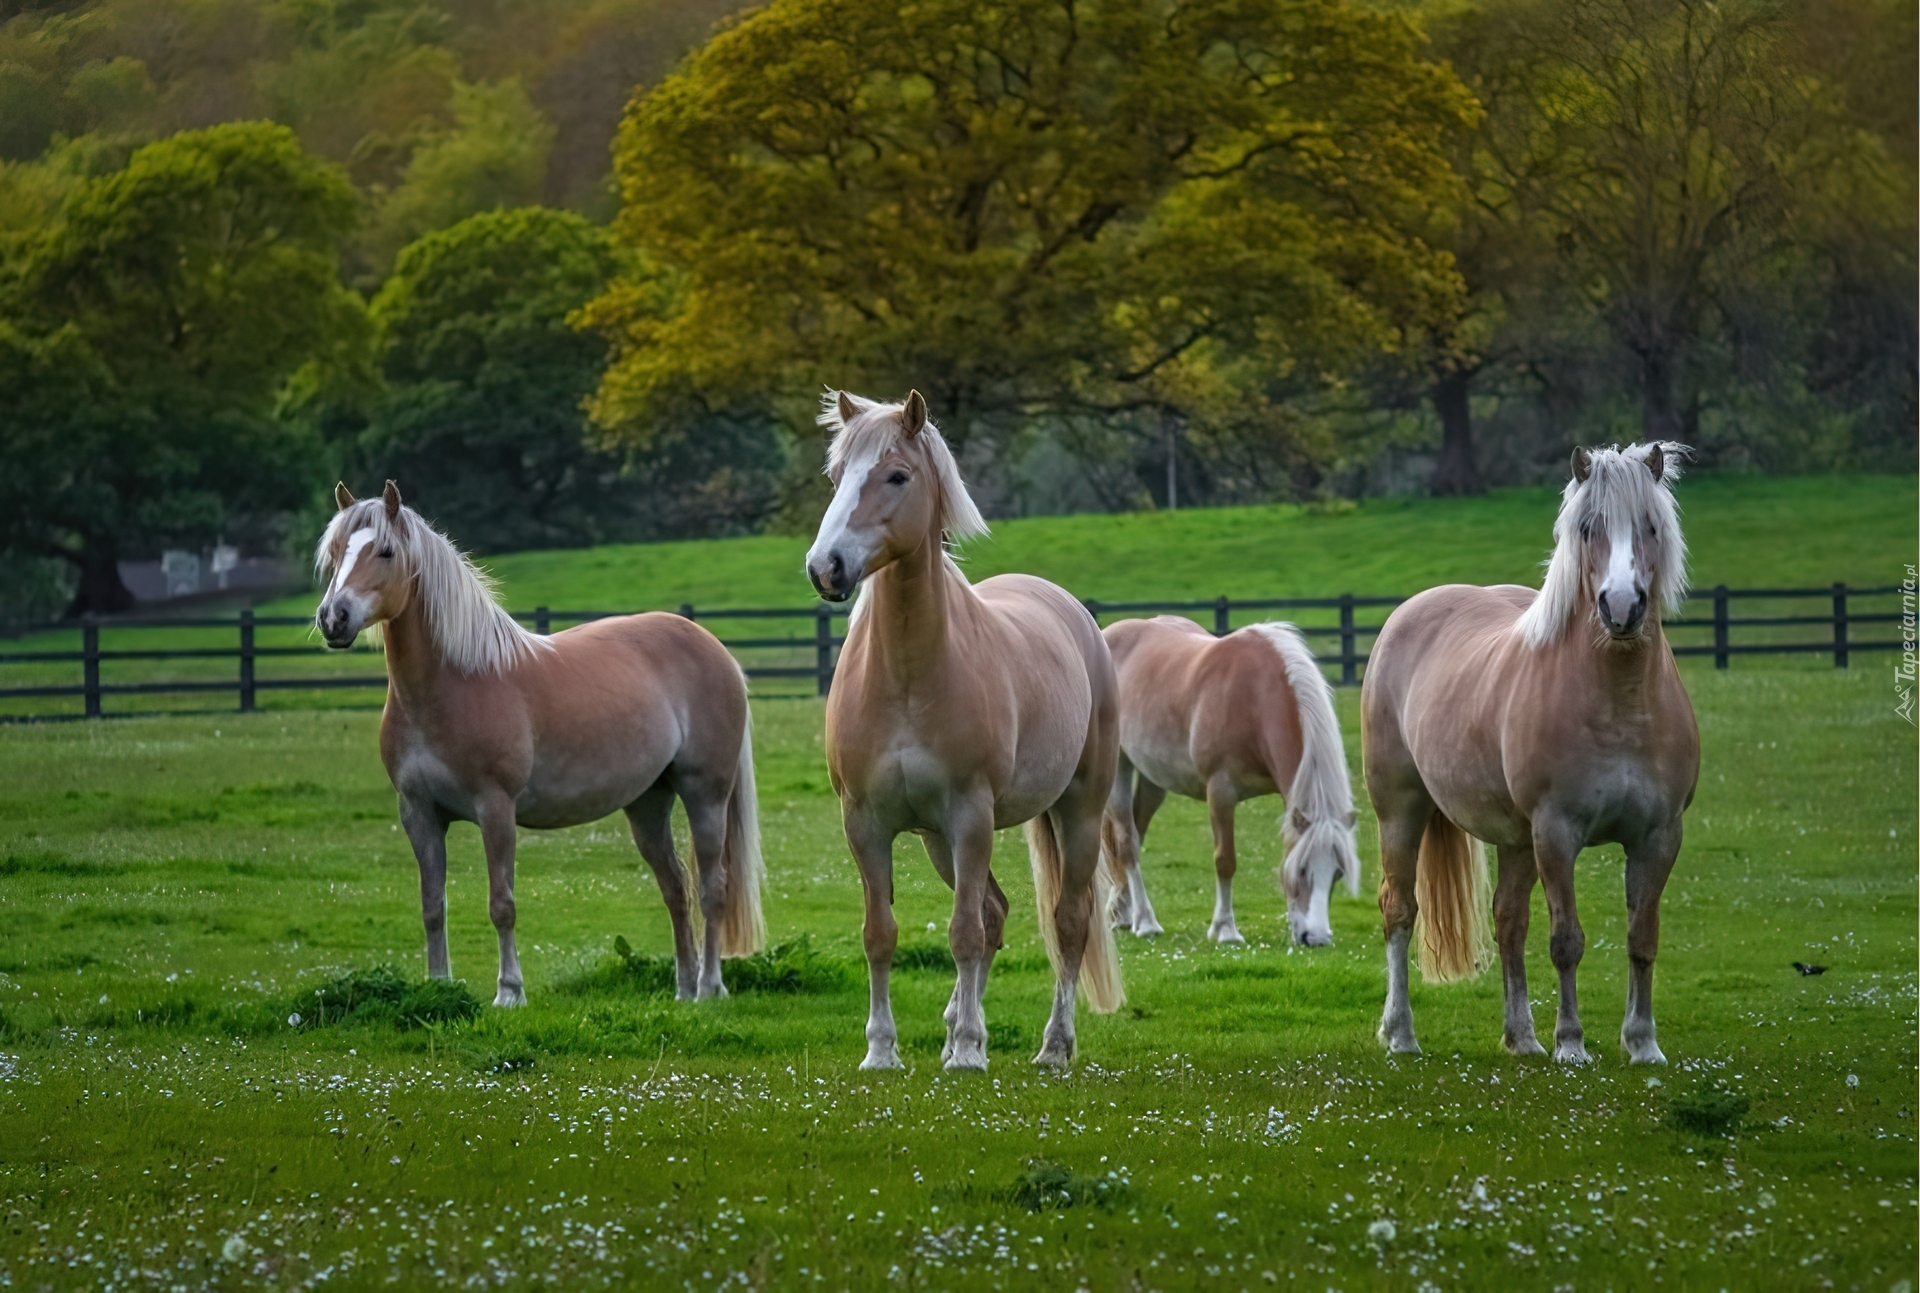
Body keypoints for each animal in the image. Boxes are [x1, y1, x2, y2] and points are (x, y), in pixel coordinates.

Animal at [314, 478, 764, 1006]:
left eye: (384, 552)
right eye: (336, 552)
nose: (333, 618)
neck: (453, 684)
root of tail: (716, 650)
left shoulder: (495, 809)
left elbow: (502, 904)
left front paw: (509, 991)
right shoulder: (418, 813)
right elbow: (431, 904)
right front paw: (439, 986)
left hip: (705, 794)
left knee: (713, 887)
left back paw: (710, 987)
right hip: (648, 803)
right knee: (676, 887)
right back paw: (684, 988)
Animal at [798, 386, 1121, 1068]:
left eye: (897, 475)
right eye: (836, 477)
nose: (825, 567)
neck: (907, 677)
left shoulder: (971, 815)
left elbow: (965, 932)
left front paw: (971, 1051)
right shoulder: (865, 823)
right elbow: (880, 934)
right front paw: (882, 1050)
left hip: (1075, 811)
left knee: (1068, 920)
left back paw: (1051, 1046)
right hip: (936, 840)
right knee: (996, 910)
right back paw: (953, 1027)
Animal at [1105, 614, 1359, 949]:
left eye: (1338, 873)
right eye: (1302, 870)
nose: (1315, 938)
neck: (1255, 699)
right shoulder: (1221, 792)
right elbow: (1225, 860)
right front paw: (1225, 929)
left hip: (1153, 778)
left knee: (1137, 830)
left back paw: (1124, 913)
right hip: (1119, 766)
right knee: (1127, 841)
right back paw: (1145, 922)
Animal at [1367, 443, 1697, 1060]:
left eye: (1650, 525)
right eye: (1589, 528)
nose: (1621, 608)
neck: (1619, 704)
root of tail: (1412, 611)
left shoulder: (1658, 837)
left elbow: (1642, 937)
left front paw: (1642, 1042)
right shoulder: (1557, 833)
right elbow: (1566, 940)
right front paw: (1571, 1043)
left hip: (1516, 839)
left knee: (1508, 920)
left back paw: (1521, 1037)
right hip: (1402, 811)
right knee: (1399, 911)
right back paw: (1400, 1032)